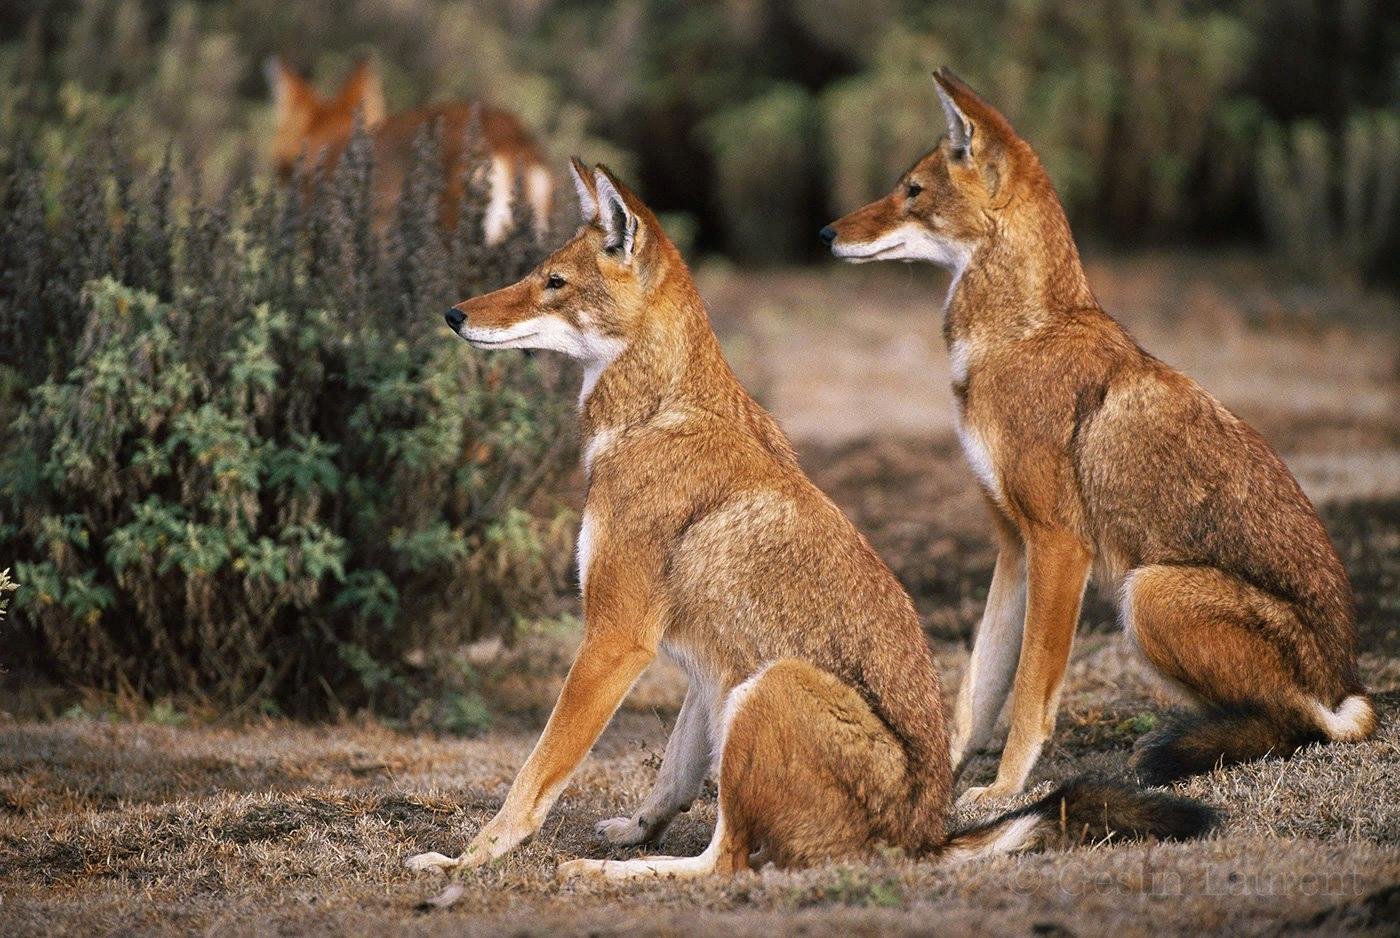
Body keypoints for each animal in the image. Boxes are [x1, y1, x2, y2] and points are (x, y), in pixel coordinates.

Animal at [817, 67, 1377, 806]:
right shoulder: (1013, 545)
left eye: (911, 191)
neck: (1016, 338)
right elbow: (975, 693)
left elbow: (1029, 694)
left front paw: (1003, 791)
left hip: (1148, 593)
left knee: (1291, 725)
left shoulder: (1060, 545)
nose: (826, 232)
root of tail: (1351, 687)